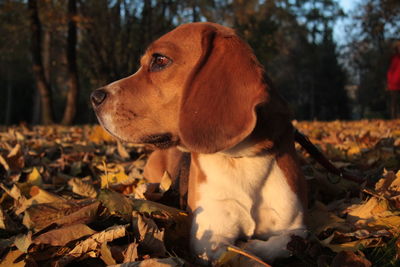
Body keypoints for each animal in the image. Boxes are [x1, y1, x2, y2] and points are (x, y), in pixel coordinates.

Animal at [92, 22, 308, 264]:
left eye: (160, 60)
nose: (94, 97)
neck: (240, 157)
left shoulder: (296, 229)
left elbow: (280, 246)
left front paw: (253, 245)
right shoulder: (208, 241)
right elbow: (242, 255)